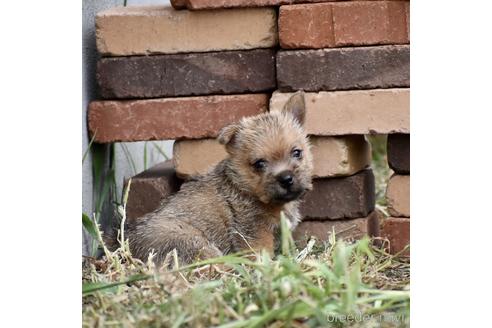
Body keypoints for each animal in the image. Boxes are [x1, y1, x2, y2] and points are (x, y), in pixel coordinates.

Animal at [126, 91, 312, 266]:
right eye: (259, 164)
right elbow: (261, 256)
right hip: (193, 243)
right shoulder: (255, 232)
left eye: (297, 152)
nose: (286, 178)